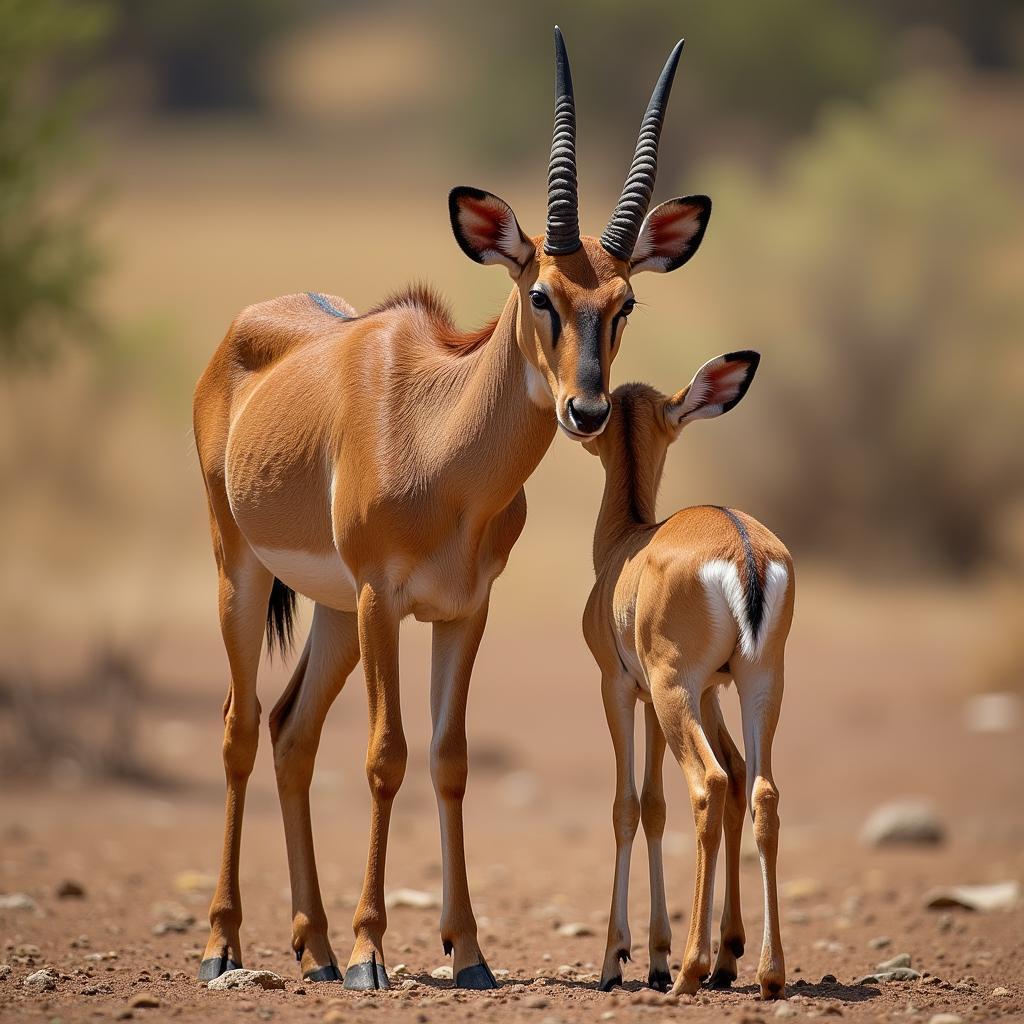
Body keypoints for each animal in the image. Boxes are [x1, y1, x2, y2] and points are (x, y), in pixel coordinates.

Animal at [585, 354, 790, 999]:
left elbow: (629, 806)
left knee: (710, 784)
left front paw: (619, 959)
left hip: (677, 696)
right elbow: (658, 805)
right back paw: (762, 971)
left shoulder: (622, 688)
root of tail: (745, 551)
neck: (626, 546)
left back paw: (693, 971)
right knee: (759, 789)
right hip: (758, 684)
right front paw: (661, 954)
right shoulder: (704, 692)